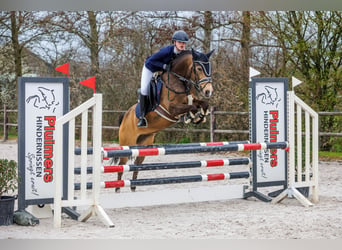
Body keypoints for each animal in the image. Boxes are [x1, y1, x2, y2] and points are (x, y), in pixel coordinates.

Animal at [115, 48, 214, 192]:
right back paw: (117, 190)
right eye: (199, 68)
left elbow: (202, 103)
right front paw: (192, 116)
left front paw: (199, 117)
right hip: (127, 143)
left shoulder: (192, 99)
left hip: (144, 144)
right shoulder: (172, 109)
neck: (178, 80)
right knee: (121, 166)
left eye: (209, 67)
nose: (208, 91)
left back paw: (133, 188)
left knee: (137, 164)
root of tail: (125, 116)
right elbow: (192, 106)